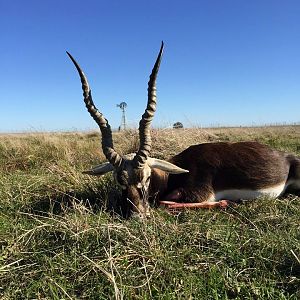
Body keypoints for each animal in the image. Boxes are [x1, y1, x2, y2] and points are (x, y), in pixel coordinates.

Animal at [68, 42, 300, 217]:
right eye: (119, 180)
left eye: (146, 178)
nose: (137, 215)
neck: (171, 176)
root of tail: (287, 158)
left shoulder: (201, 195)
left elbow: (166, 201)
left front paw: (226, 203)